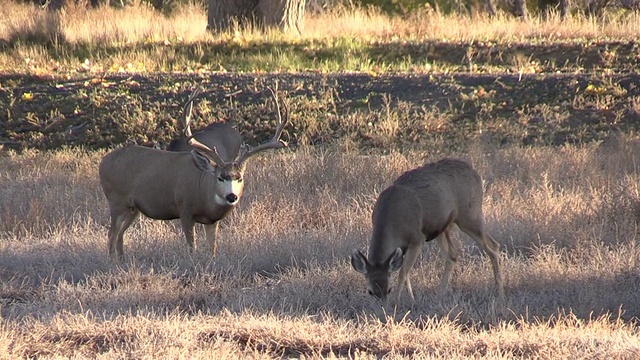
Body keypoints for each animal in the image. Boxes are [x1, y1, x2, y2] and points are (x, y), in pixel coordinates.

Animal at [99, 88, 288, 262]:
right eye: (220, 177)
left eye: (239, 178)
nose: (232, 196)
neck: (204, 193)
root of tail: (102, 162)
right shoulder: (185, 210)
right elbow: (192, 247)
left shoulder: (213, 221)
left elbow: (213, 248)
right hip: (116, 200)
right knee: (111, 234)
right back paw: (112, 262)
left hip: (133, 208)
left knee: (120, 234)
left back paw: (122, 261)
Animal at [352, 158, 502, 304]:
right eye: (370, 291)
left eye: (389, 289)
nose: (382, 306)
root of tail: (475, 173)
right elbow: (407, 272)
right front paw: (412, 299)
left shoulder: (417, 238)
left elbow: (403, 272)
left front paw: (397, 302)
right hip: (442, 228)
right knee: (452, 255)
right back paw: (440, 295)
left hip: (470, 215)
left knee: (493, 246)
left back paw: (499, 291)